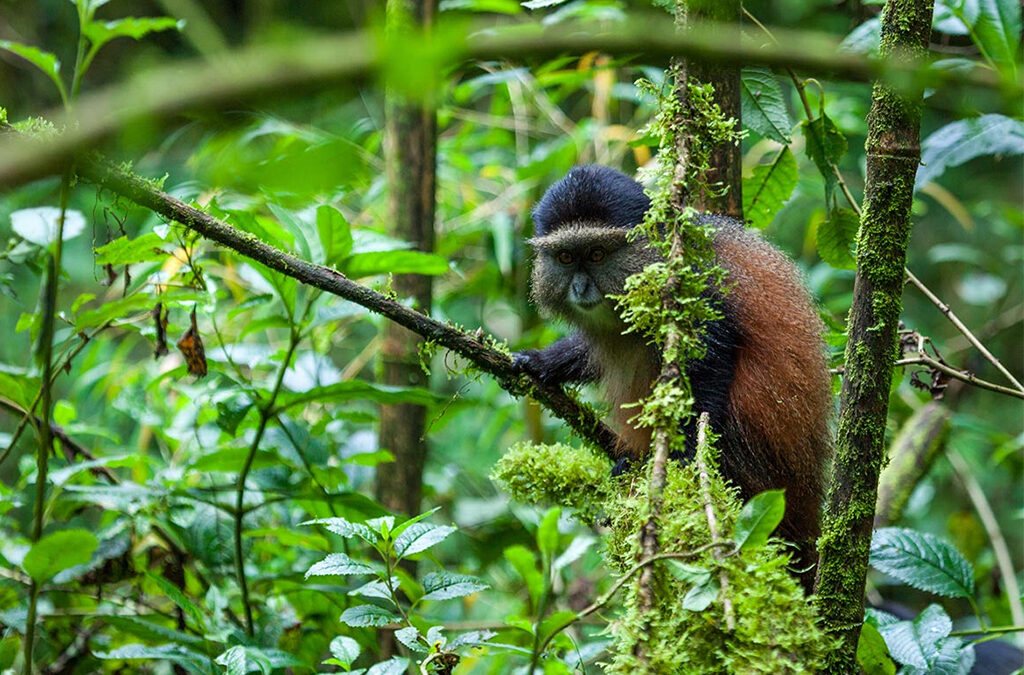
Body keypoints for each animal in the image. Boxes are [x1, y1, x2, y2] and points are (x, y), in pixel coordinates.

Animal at [513, 165, 833, 587]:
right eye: (565, 257)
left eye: (597, 254)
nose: (580, 288)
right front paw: (541, 361)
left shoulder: (692, 287)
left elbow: (714, 354)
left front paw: (681, 462)